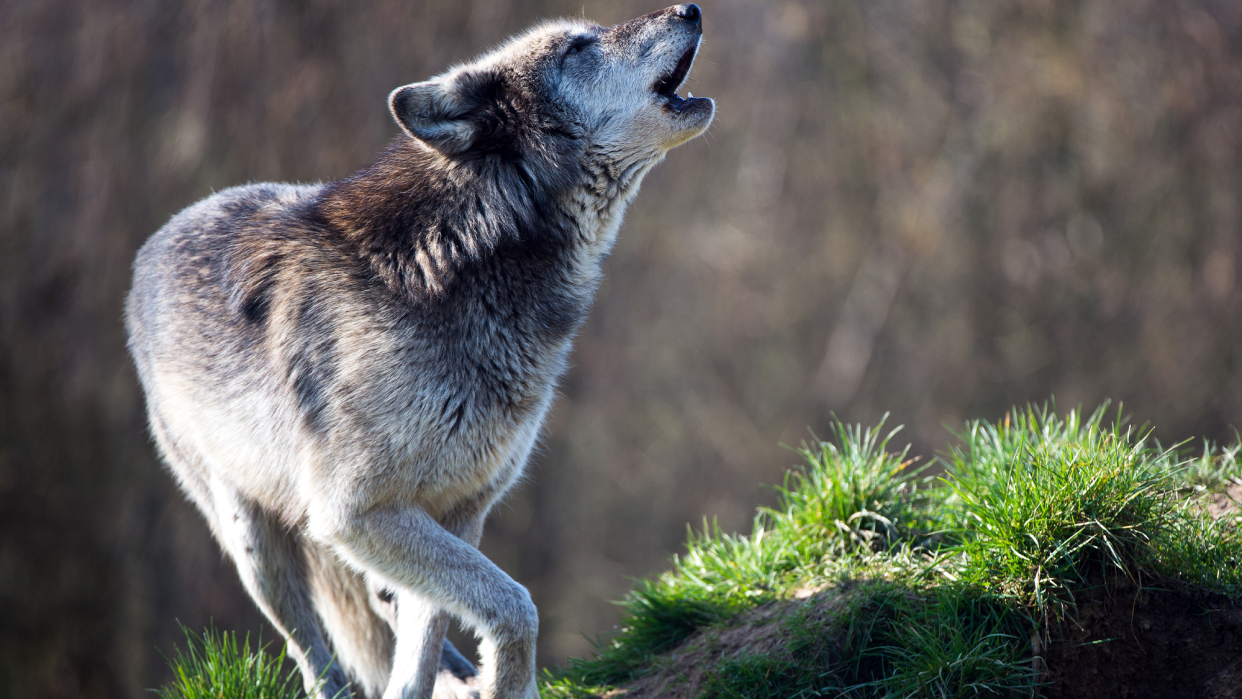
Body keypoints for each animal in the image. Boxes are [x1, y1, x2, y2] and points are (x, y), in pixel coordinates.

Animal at [124, 5, 715, 699]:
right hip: (257, 544)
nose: (689, 9)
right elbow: (516, 606)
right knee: (314, 652)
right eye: (577, 46)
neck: (462, 260)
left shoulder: (458, 509)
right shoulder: (355, 514)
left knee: (388, 607)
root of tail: (151, 246)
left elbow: (426, 641)